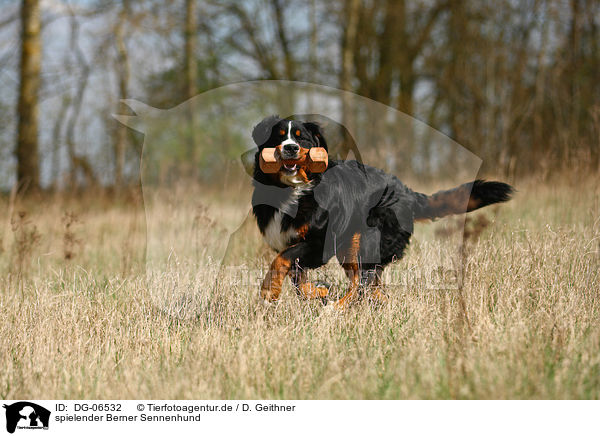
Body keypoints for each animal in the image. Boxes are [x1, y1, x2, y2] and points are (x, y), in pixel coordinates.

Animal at [251, 114, 512, 308]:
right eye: (278, 137)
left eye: (301, 138)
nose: (291, 148)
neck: (291, 191)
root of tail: (407, 192)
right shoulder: (292, 242)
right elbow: (297, 278)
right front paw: (316, 292)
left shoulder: (319, 242)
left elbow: (281, 260)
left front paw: (269, 292)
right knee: (372, 287)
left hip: (366, 241)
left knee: (361, 283)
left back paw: (335, 309)